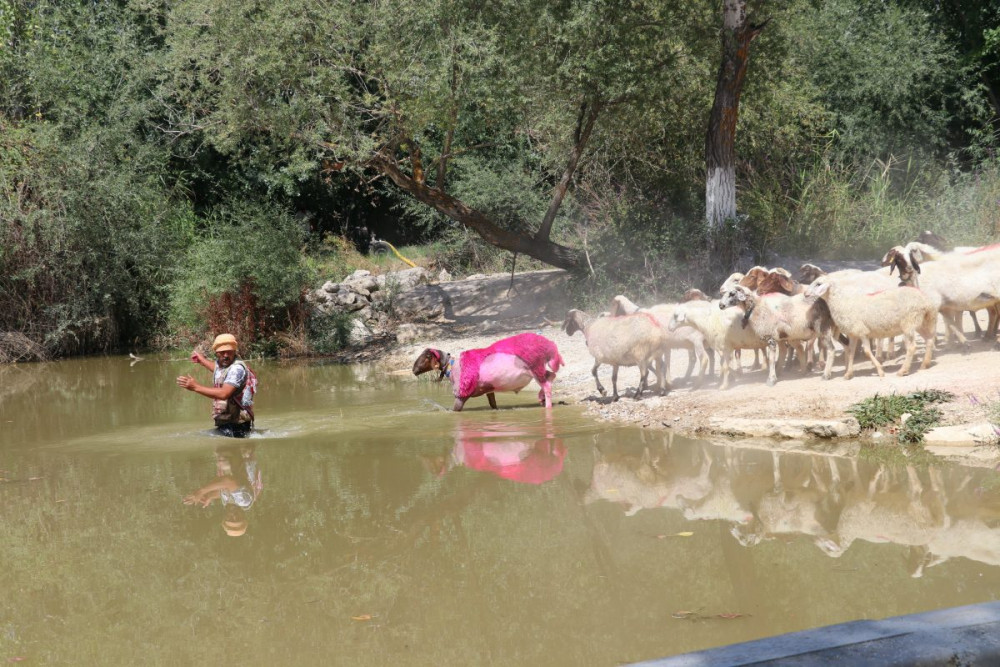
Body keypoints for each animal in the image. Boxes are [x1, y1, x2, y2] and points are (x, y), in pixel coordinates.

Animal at [412, 332, 568, 410]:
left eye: (426, 357)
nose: (413, 370)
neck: (452, 366)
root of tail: (548, 346)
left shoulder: (461, 394)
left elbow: (454, 410)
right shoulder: (489, 390)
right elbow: (493, 405)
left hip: (535, 368)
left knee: (547, 384)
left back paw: (547, 405)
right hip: (538, 369)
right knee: (551, 376)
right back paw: (541, 398)